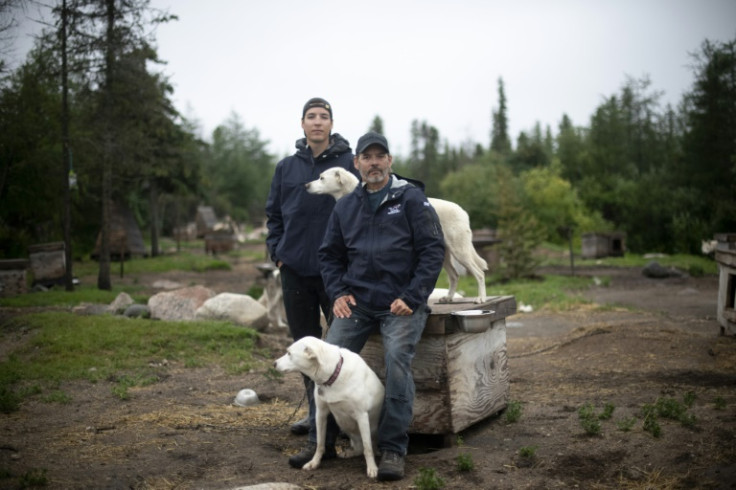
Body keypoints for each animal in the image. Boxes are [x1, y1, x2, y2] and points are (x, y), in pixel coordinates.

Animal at [272, 334, 386, 476]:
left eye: (289, 353)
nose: (274, 363)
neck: (334, 374)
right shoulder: (320, 413)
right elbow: (320, 443)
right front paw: (314, 462)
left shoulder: (362, 416)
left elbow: (367, 447)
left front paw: (372, 468)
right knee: (359, 448)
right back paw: (350, 452)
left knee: (370, 447)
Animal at [306, 167, 488, 302]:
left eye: (321, 178)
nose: (306, 185)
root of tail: (463, 211)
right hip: (443, 253)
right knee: (455, 276)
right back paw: (448, 298)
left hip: (460, 250)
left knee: (479, 273)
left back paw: (480, 299)